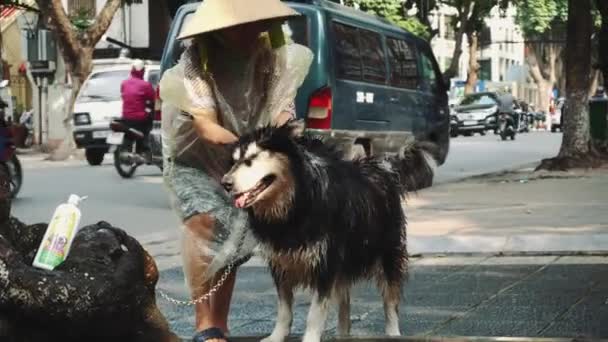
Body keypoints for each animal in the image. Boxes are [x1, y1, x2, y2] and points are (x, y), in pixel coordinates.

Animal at [221, 120, 434, 342]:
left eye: (252, 158)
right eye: (234, 161)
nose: (225, 183)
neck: (294, 206)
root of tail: (383, 167)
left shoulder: (325, 263)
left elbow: (315, 312)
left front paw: (310, 337)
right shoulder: (280, 263)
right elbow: (284, 308)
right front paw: (276, 336)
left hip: (387, 254)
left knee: (390, 301)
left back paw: (392, 333)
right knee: (344, 302)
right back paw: (342, 334)